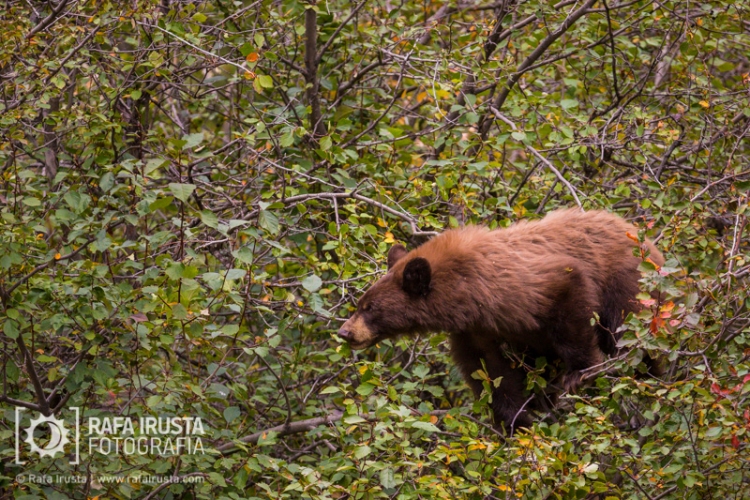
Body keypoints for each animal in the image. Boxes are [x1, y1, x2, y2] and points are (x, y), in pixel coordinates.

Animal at [337, 209, 665, 432]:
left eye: (369, 308)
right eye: (360, 304)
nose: (345, 332)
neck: (465, 290)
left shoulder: (518, 286)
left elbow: (569, 301)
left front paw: (580, 373)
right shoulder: (476, 329)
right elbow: (489, 370)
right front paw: (514, 419)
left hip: (630, 281)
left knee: (626, 322)